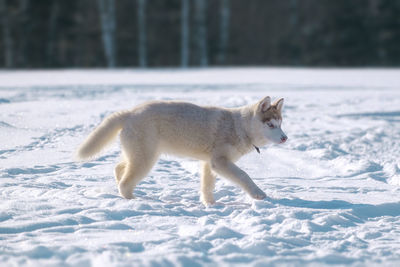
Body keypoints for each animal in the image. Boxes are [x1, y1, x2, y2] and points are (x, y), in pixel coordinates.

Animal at [76, 97, 288, 206]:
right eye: (270, 125)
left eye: (280, 123)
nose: (285, 138)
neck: (240, 126)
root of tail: (130, 113)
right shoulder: (220, 161)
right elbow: (244, 176)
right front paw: (258, 194)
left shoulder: (209, 163)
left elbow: (207, 186)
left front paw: (210, 204)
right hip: (146, 159)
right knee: (125, 183)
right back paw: (134, 200)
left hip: (137, 154)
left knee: (119, 168)